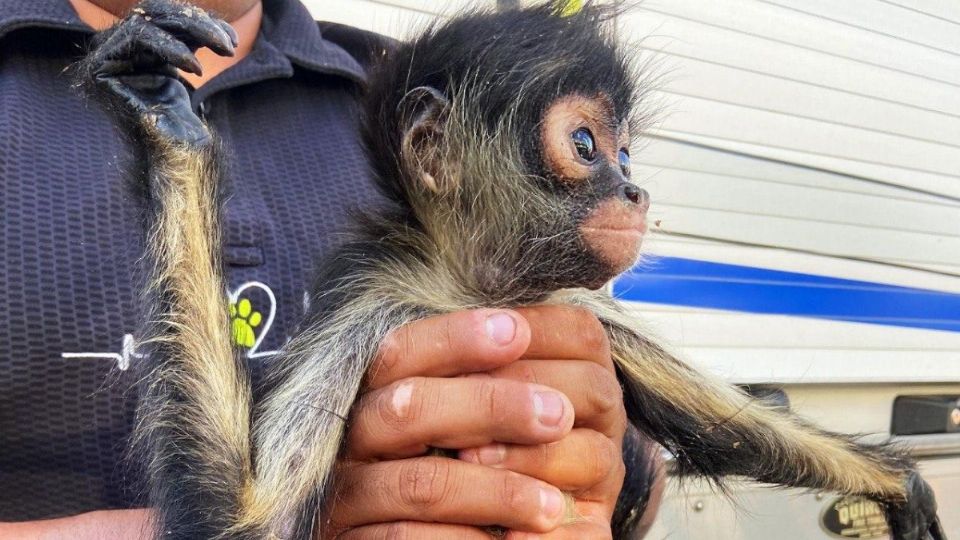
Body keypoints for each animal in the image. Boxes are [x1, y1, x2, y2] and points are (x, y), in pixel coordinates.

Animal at [77, 1, 944, 540]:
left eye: (627, 155)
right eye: (588, 145)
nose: (635, 190)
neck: (472, 291)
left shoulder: (577, 304)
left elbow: (734, 427)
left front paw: (899, 487)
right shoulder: (374, 301)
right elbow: (247, 518)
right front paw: (169, 123)